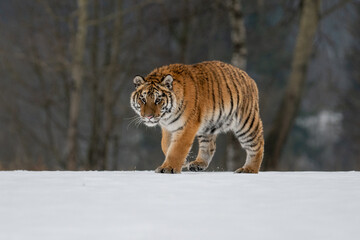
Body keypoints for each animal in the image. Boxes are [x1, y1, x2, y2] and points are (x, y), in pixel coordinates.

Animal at [130, 59, 264, 172]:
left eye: (158, 100)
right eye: (143, 99)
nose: (148, 117)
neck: (167, 116)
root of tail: (249, 78)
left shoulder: (187, 126)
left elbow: (177, 149)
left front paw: (168, 168)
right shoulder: (168, 128)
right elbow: (166, 146)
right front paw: (182, 162)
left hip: (246, 122)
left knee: (257, 145)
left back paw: (249, 169)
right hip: (207, 126)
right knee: (209, 146)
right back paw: (198, 164)